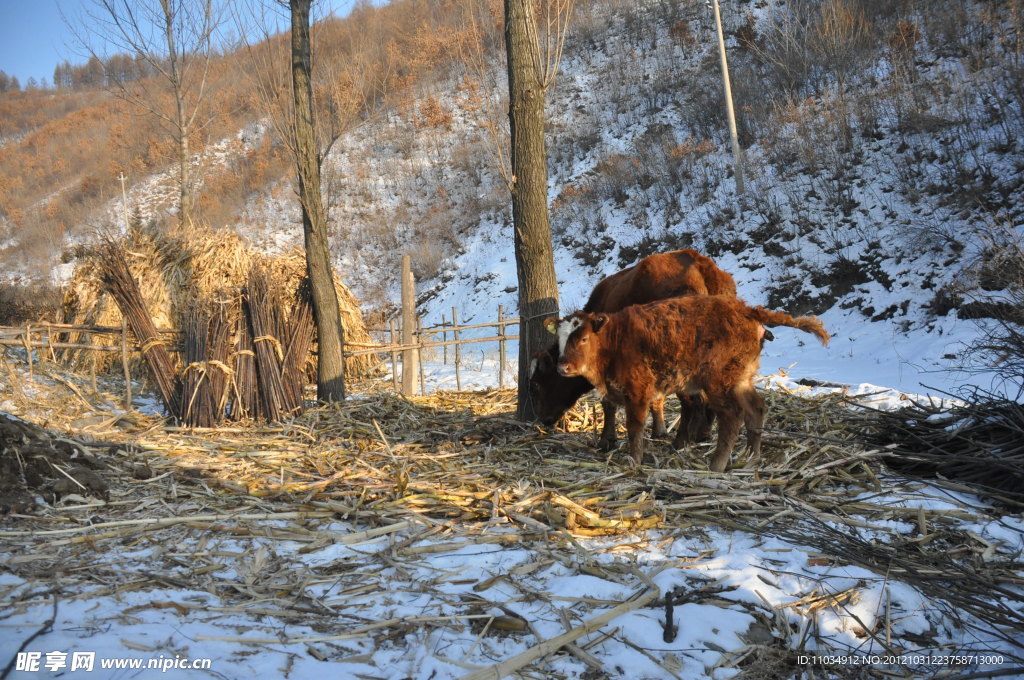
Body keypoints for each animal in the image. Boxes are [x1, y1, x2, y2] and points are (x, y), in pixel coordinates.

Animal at [528, 246, 737, 448]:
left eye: (537, 383)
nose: (543, 418)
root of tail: (700, 264)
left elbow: (608, 403)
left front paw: (606, 440)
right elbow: (656, 399)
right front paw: (659, 431)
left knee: (691, 400)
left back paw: (681, 441)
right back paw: (703, 434)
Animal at [548, 296, 827, 473]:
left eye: (583, 338)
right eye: (560, 340)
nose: (563, 367)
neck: (615, 340)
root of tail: (744, 309)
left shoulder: (638, 391)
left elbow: (635, 427)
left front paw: (634, 461)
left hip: (719, 381)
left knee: (732, 415)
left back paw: (717, 465)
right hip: (741, 378)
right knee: (756, 408)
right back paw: (751, 457)